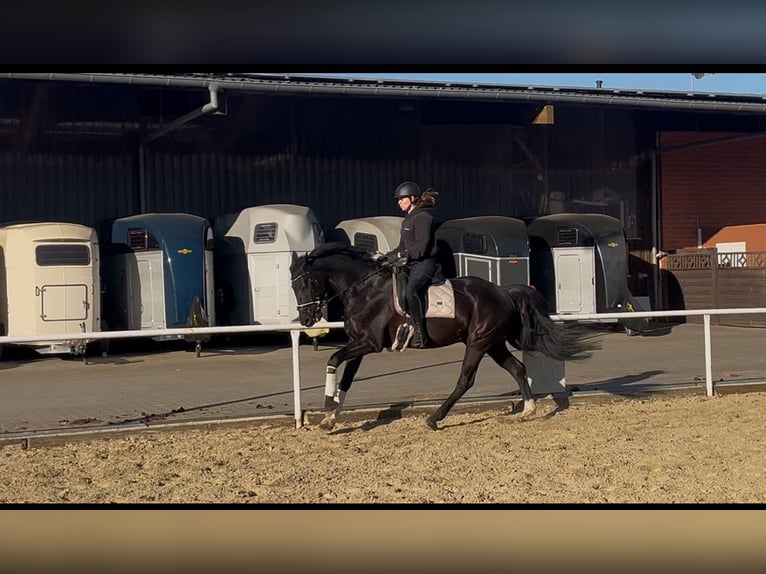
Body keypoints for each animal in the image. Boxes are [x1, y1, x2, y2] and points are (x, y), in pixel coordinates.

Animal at [292, 243, 604, 432]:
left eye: (306, 282)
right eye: (293, 285)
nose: (306, 320)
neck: (365, 289)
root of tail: (503, 291)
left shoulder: (369, 343)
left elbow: (333, 359)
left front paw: (326, 406)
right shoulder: (360, 344)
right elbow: (346, 378)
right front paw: (330, 417)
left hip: (478, 343)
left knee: (466, 379)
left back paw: (434, 418)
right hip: (491, 343)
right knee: (517, 368)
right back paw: (527, 410)